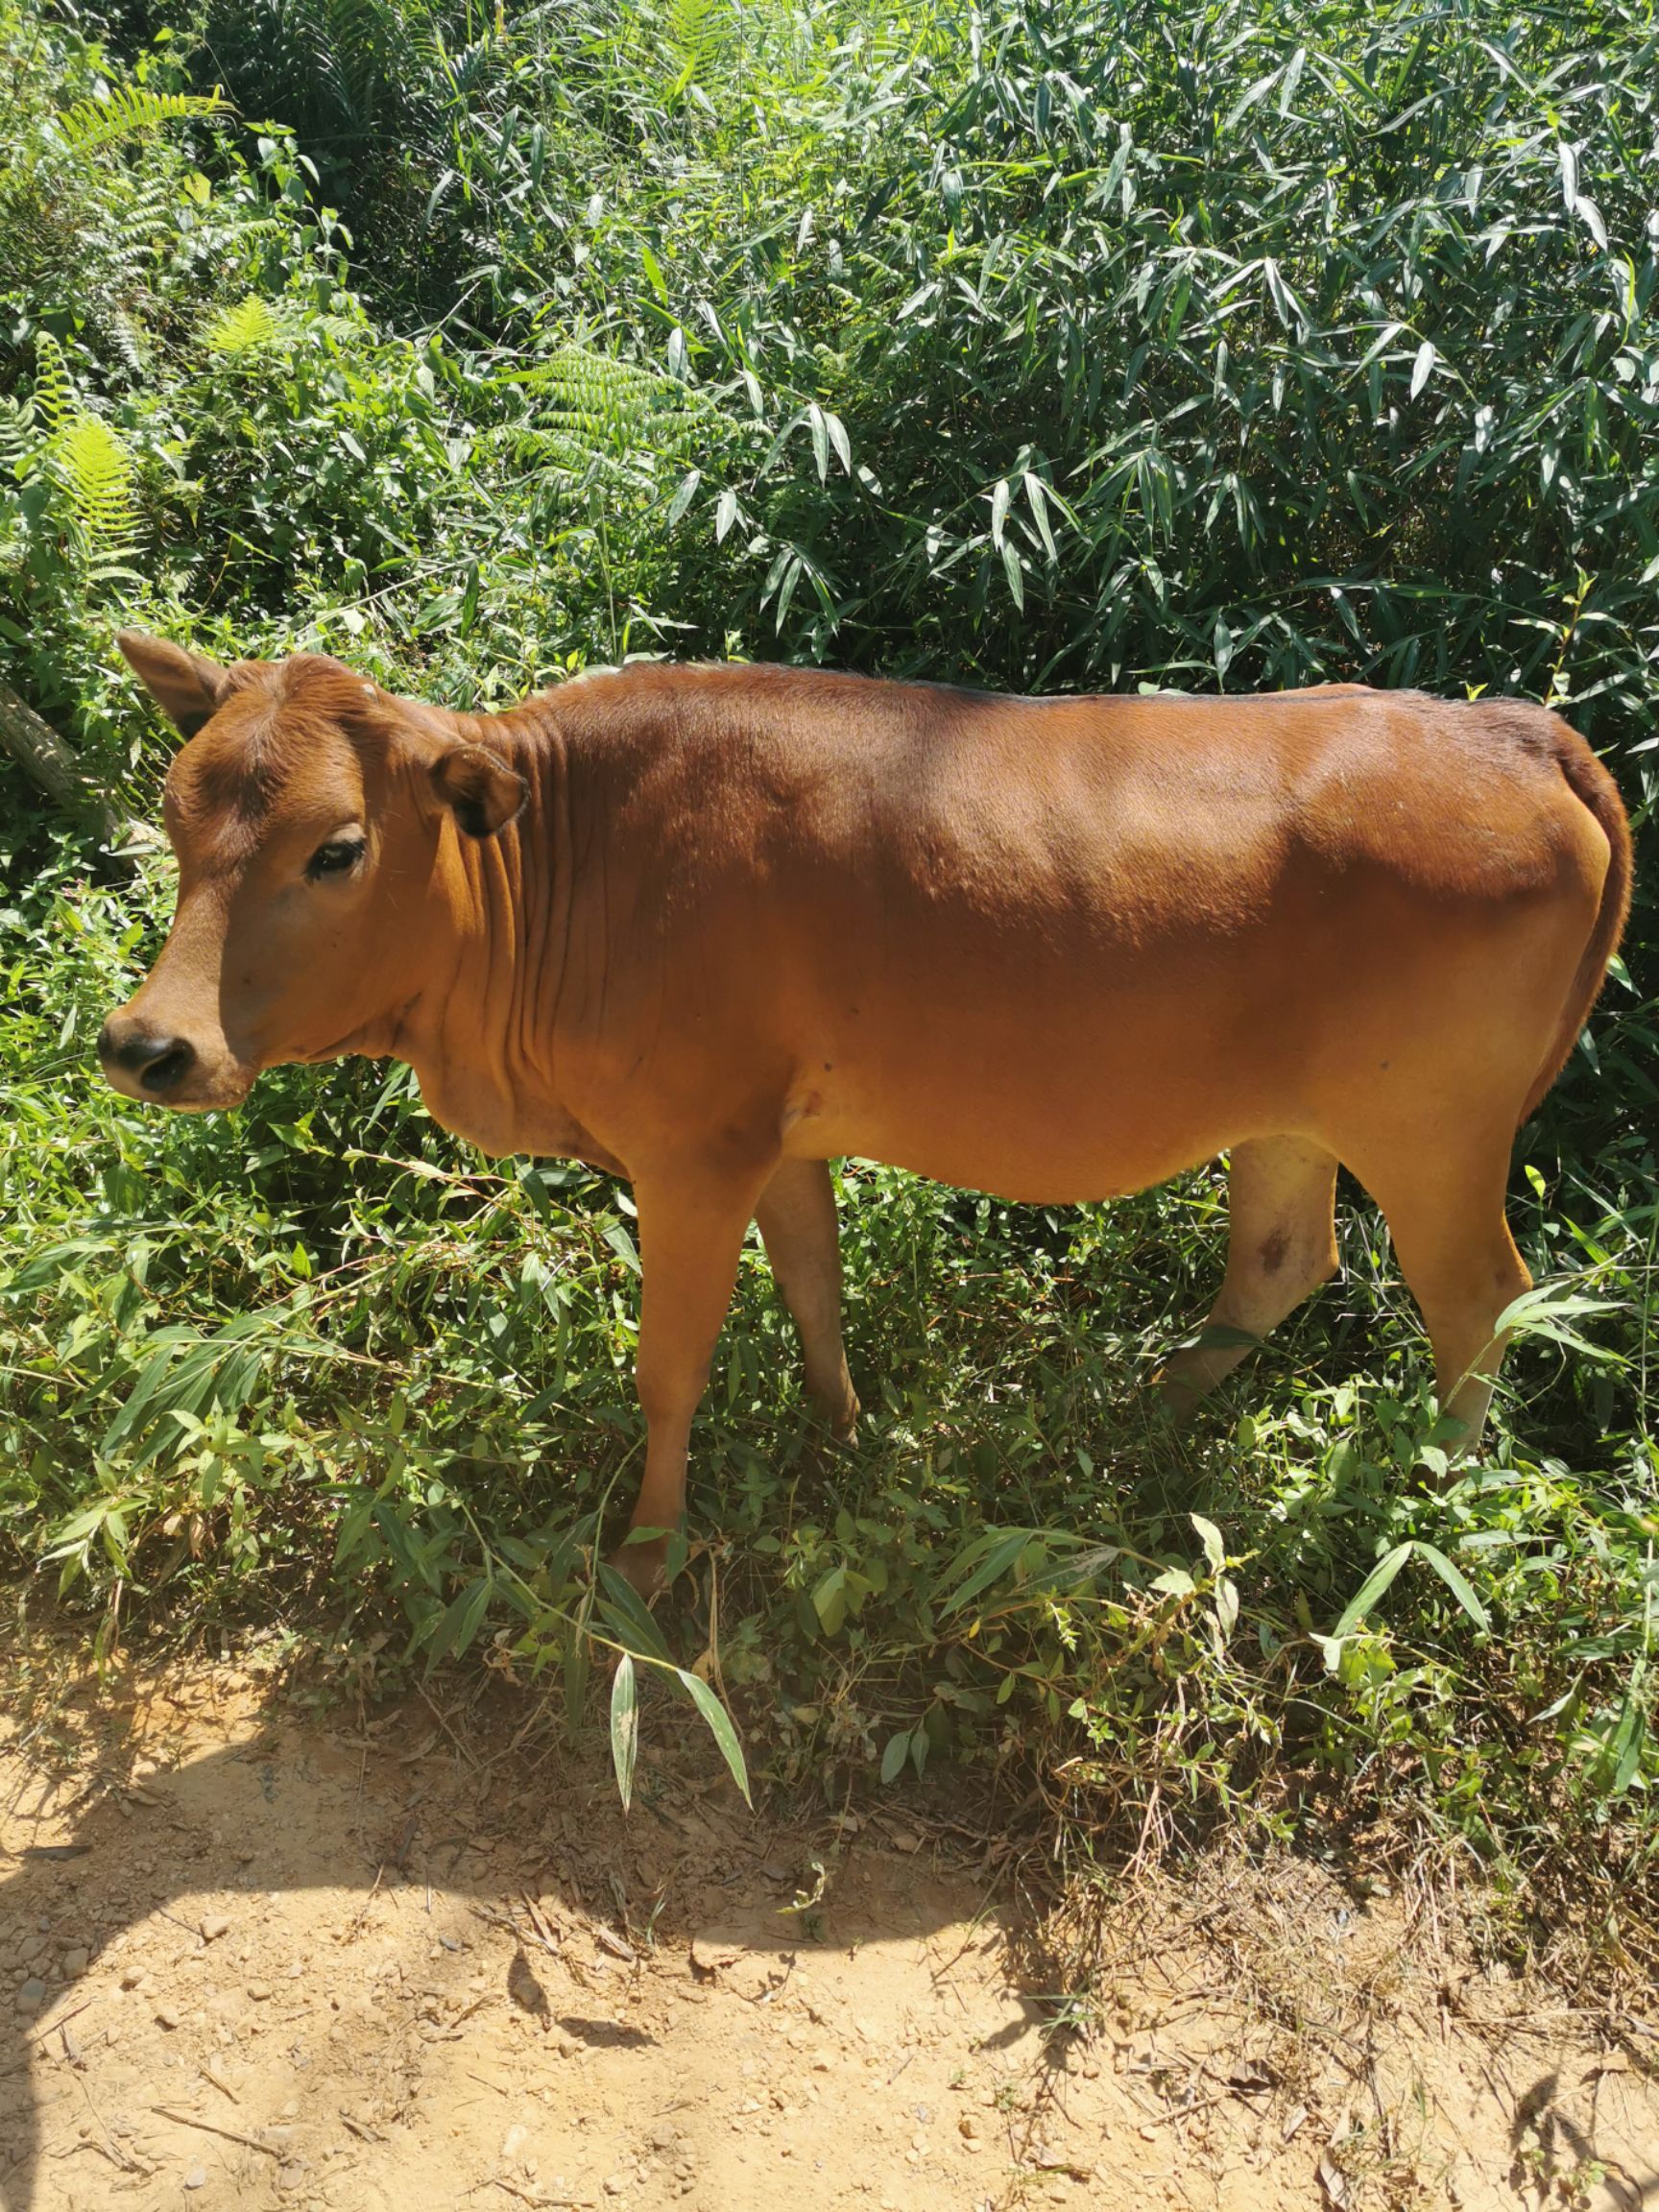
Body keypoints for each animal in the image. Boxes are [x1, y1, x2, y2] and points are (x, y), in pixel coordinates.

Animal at [100, 641, 1636, 1592]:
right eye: (172, 814)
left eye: (338, 848)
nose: (147, 1046)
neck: (561, 868)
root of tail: (1509, 726)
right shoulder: (774, 1137)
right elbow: (815, 1293)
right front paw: (842, 1444)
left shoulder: (692, 1150)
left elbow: (671, 1367)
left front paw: (647, 1555)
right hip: (1291, 1118)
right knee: (1279, 1262)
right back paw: (1127, 1418)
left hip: (1431, 1131)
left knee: (1476, 1299)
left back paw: (1430, 1501)